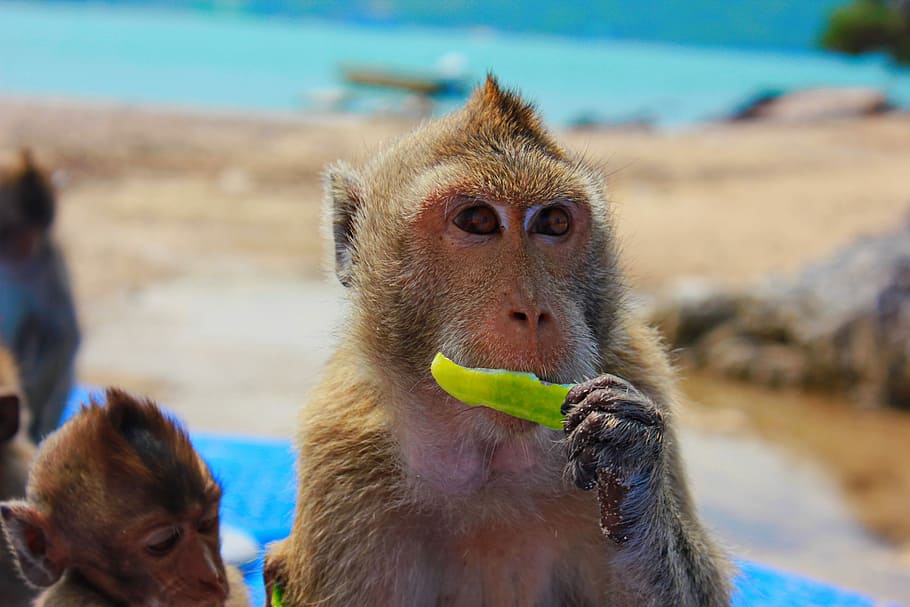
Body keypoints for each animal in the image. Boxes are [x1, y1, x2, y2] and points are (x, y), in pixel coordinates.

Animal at [263, 76, 732, 607]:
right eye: (477, 220)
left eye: (553, 223)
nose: (532, 312)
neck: (491, 462)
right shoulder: (342, 446)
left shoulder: (641, 370)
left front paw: (627, 460)